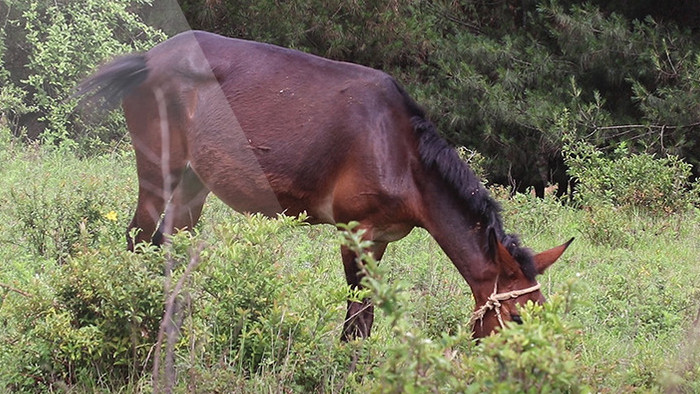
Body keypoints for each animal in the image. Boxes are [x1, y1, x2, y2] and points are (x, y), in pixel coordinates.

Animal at [75, 30, 576, 338]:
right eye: (516, 316)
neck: (402, 155)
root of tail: (148, 58)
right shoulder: (356, 231)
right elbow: (357, 317)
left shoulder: (383, 238)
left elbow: (367, 316)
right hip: (158, 169)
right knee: (138, 237)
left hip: (196, 181)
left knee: (169, 243)